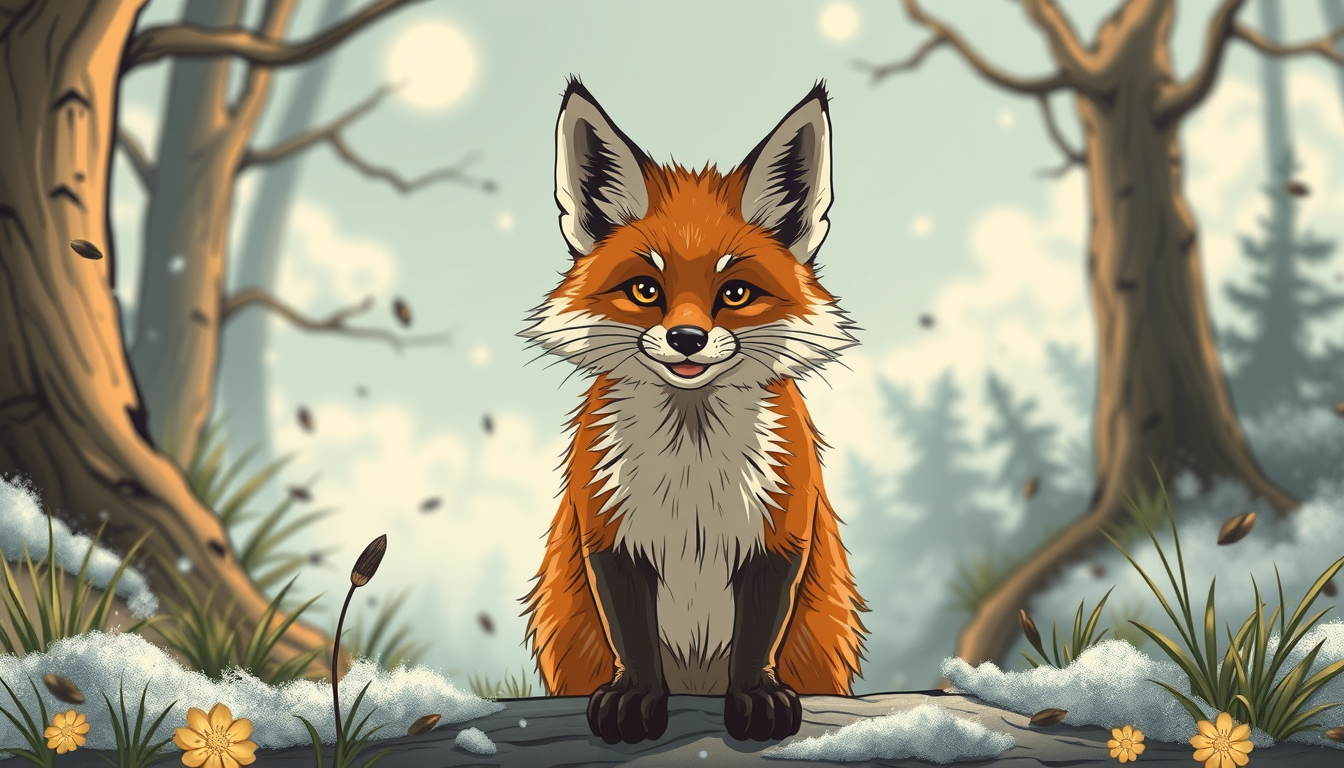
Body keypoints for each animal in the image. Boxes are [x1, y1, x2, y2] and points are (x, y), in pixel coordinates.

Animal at [520, 79, 868, 745]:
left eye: (734, 293)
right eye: (645, 290)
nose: (687, 338)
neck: (692, 468)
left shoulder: (780, 535)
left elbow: (758, 637)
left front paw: (757, 697)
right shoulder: (609, 536)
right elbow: (632, 637)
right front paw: (633, 698)